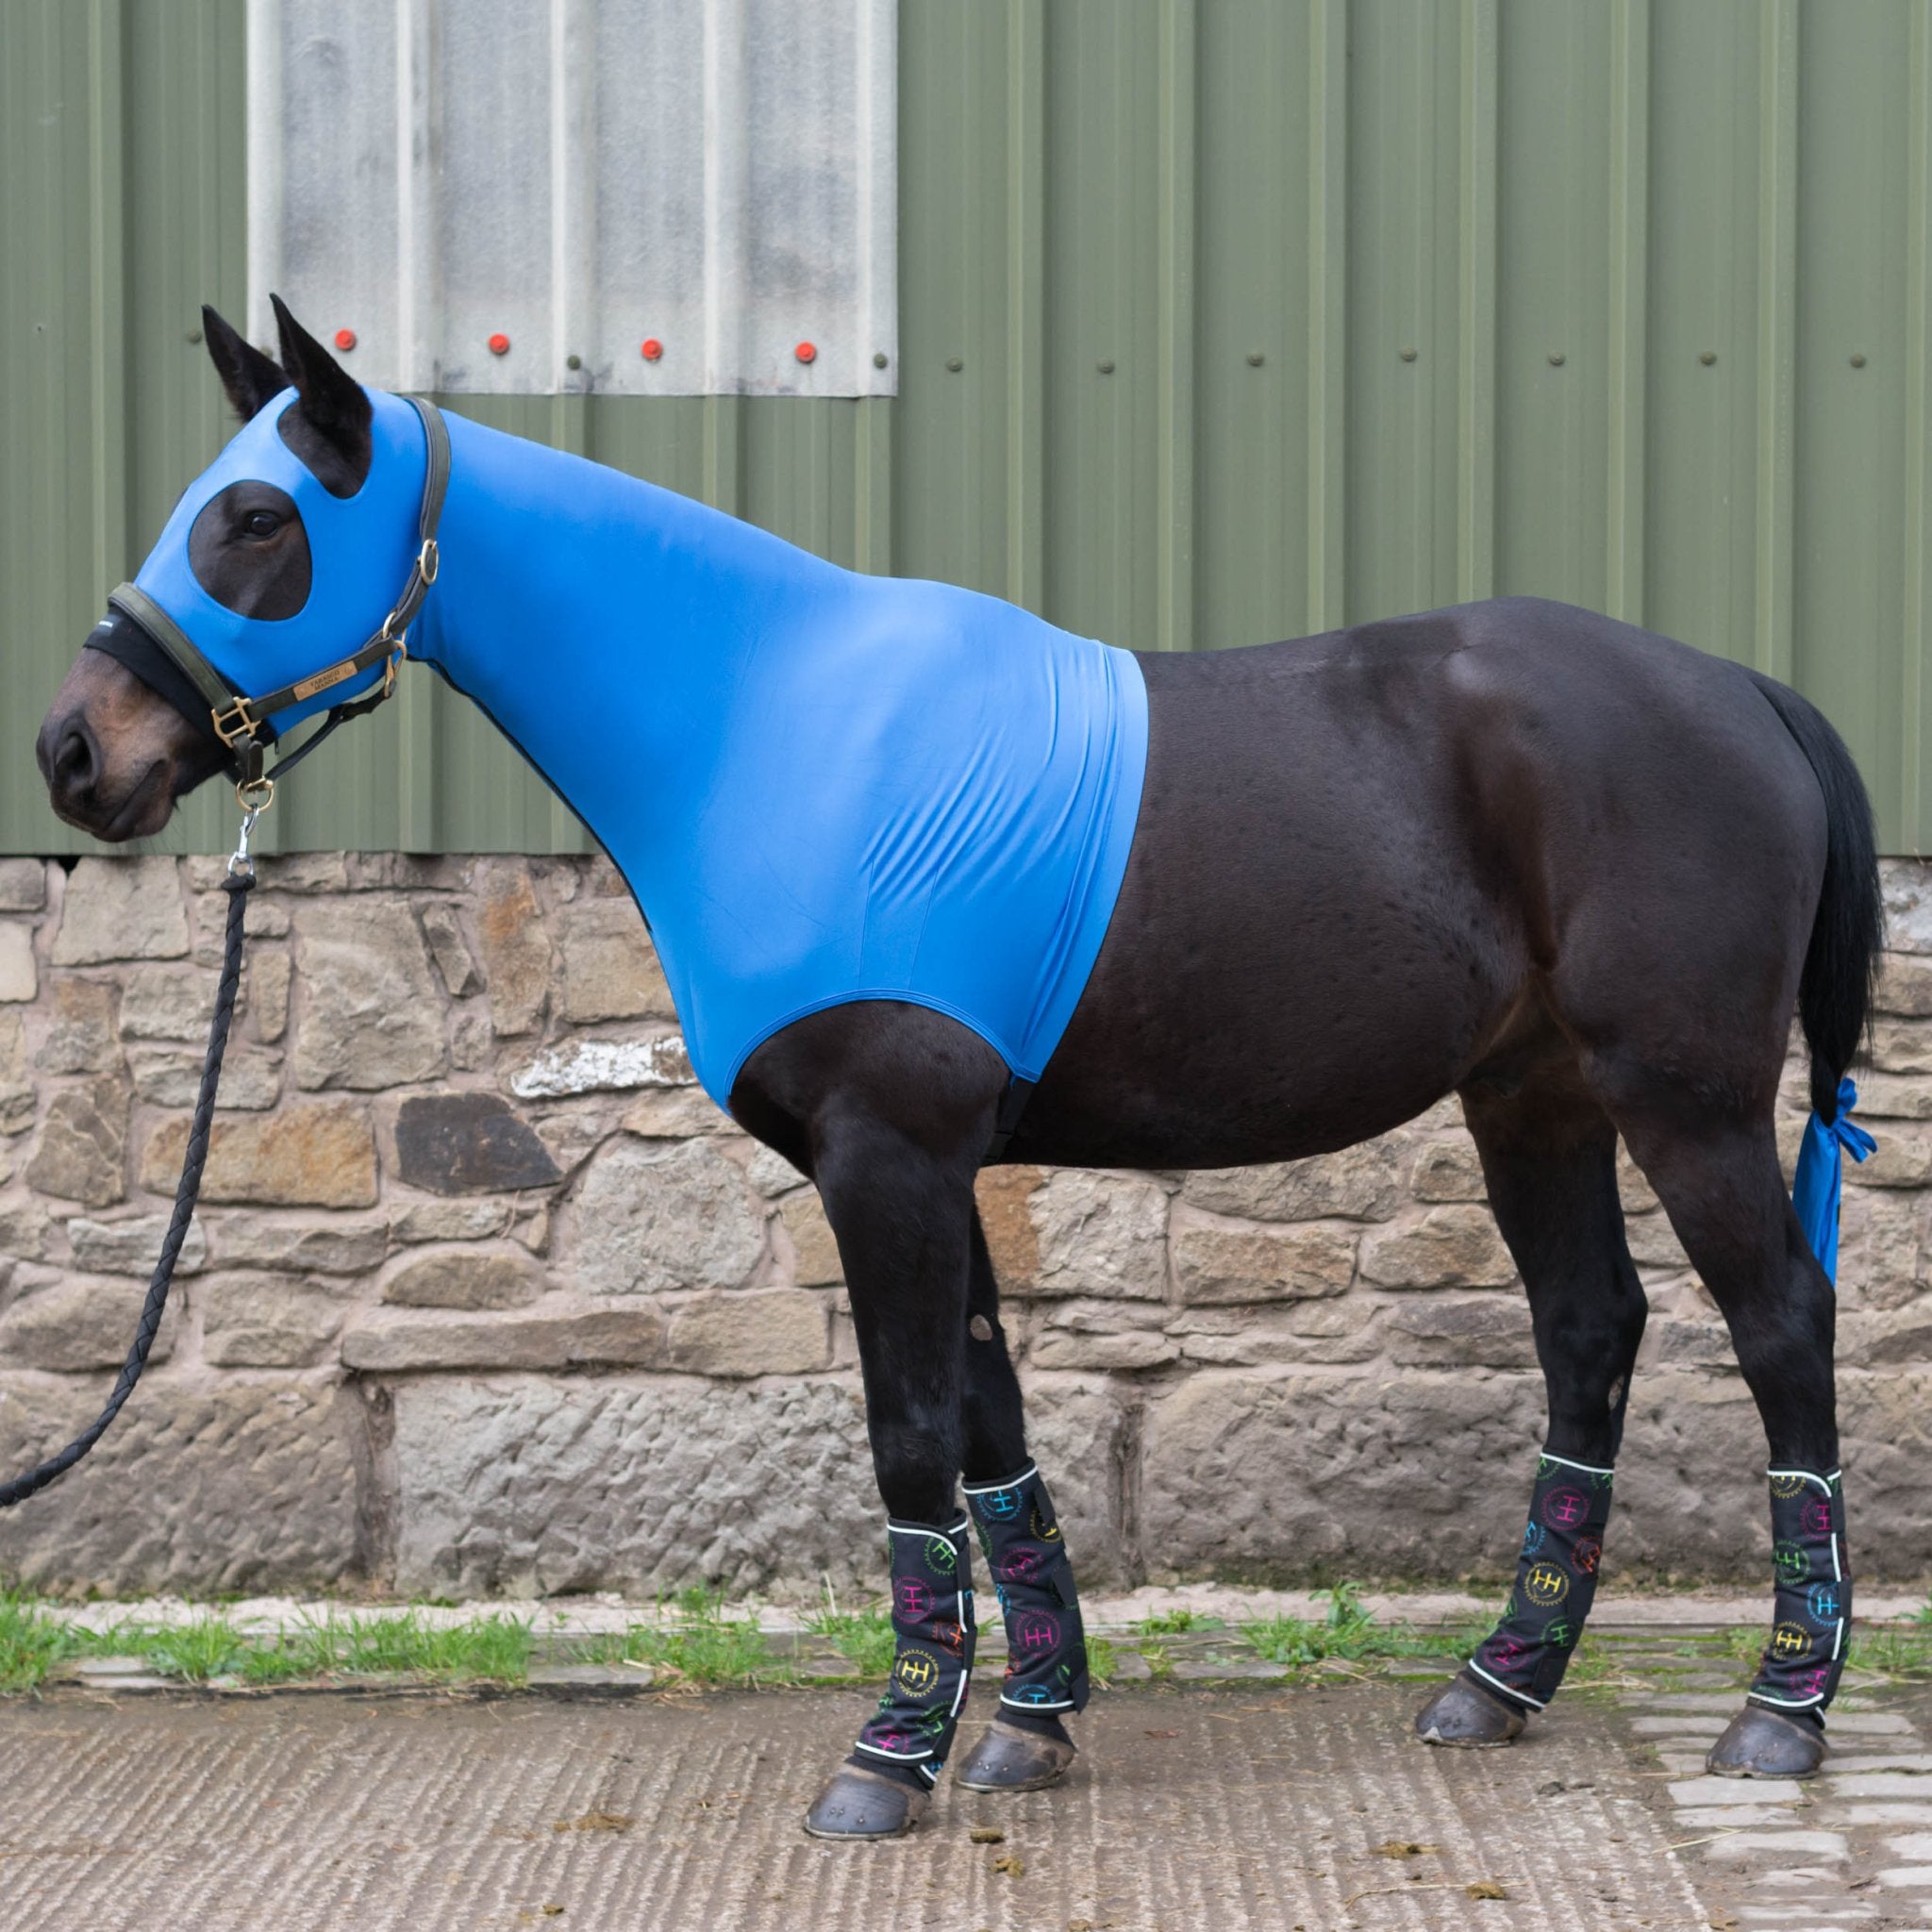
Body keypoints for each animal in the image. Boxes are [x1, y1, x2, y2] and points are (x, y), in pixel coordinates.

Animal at [36, 300, 1882, 1839]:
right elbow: (993, 1423)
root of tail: (1745, 691)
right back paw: (1497, 1685)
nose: (75, 752)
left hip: (1683, 1100)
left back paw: (1781, 1710)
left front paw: (890, 1758)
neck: (762, 719)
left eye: (258, 520)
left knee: (1780, 1326)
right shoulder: (932, 1167)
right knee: (1590, 1331)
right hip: (1534, 1097)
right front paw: (1027, 1723)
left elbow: (912, 1435)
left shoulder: (889, 1157)